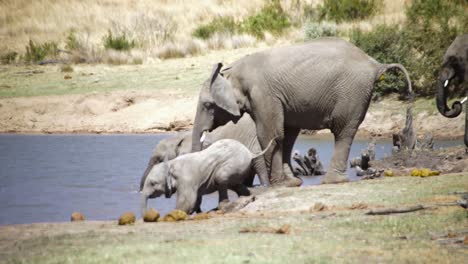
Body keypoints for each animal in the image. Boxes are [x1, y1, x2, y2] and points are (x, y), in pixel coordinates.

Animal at [141, 138, 276, 214]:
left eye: (153, 183)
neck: (170, 164)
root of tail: (250, 153)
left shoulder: (186, 179)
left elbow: (187, 200)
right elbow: (196, 198)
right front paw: (197, 212)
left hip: (233, 164)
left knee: (221, 178)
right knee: (235, 185)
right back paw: (246, 198)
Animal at [191, 37, 414, 186]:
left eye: (208, 105)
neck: (232, 72)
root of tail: (375, 64)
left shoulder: (263, 95)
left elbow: (270, 134)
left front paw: (279, 185)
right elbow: (286, 134)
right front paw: (291, 183)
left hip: (352, 91)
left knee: (343, 131)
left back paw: (331, 181)